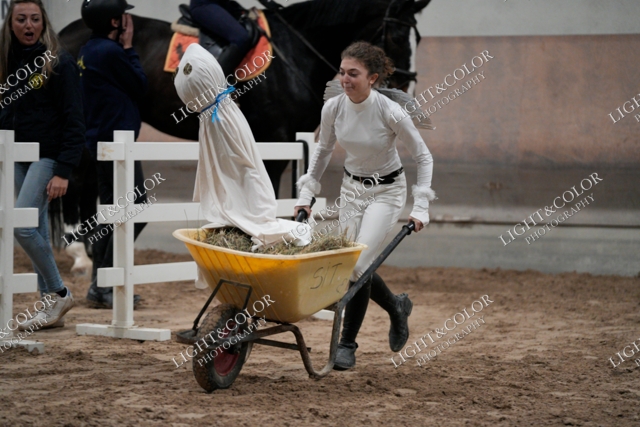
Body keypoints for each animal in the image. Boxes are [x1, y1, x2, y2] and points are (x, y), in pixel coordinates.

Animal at [55, 0, 431, 273]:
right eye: (398, 36)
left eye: (419, 39)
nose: (406, 92)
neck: (296, 54)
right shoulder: (276, 141)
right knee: (76, 179)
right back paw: (78, 251)